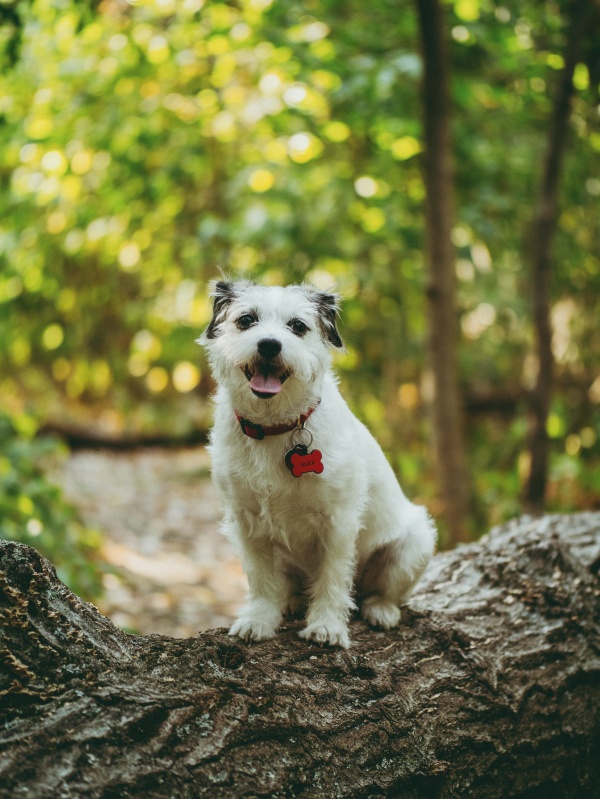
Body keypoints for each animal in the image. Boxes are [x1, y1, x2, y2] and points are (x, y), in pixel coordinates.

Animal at [200, 282, 436, 648]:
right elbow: (260, 577)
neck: (274, 427)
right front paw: (260, 618)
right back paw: (292, 600)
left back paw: (381, 609)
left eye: (298, 326)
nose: (269, 344)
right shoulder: (246, 522)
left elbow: (332, 578)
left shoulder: (338, 523)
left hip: (414, 545)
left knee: (380, 592)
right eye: (246, 320)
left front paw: (327, 626)